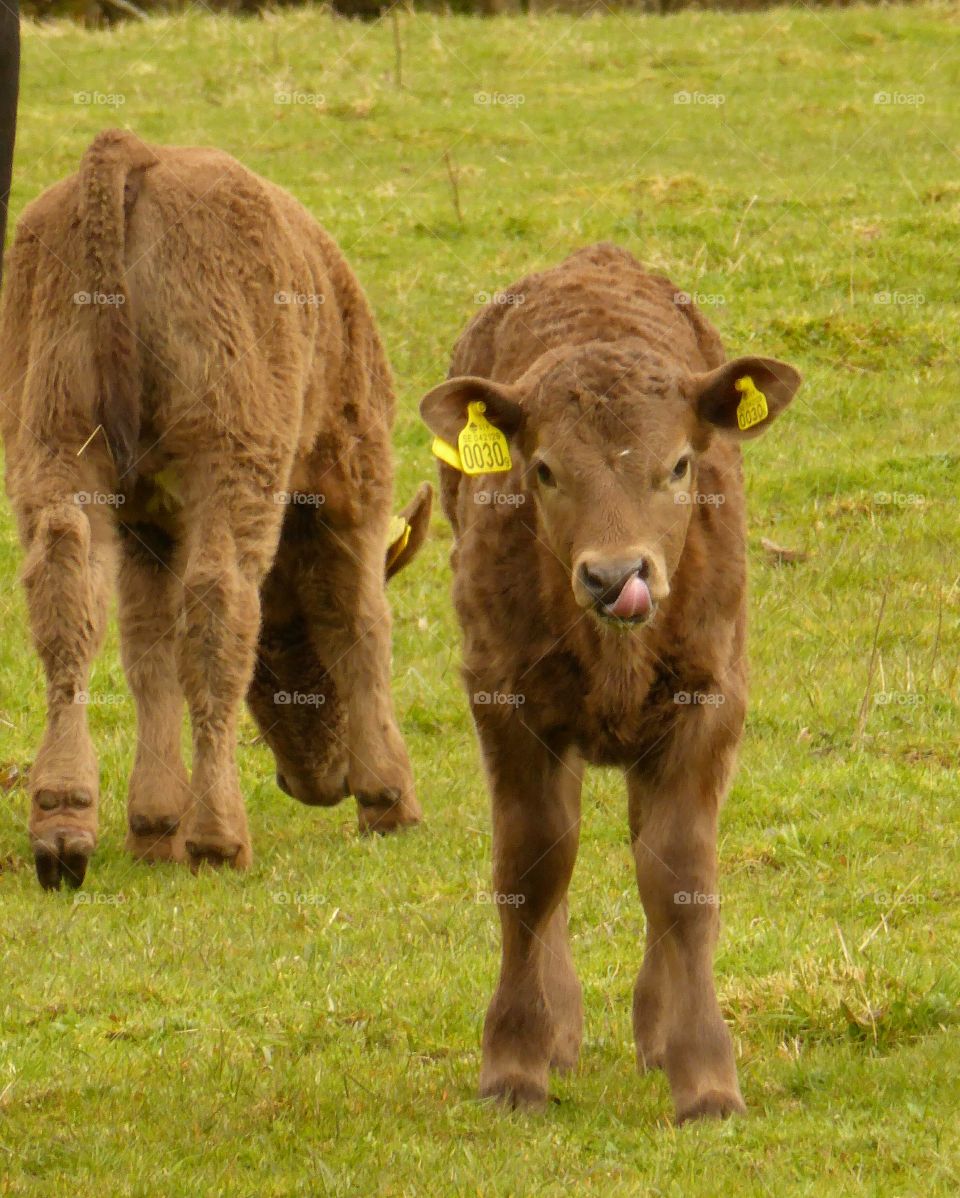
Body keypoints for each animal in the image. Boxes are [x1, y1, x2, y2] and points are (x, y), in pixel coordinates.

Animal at [0, 131, 426, 891]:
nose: (315, 783)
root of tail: (136, 153)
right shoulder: (355, 482)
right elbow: (361, 622)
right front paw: (389, 799)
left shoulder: (146, 530)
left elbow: (148, 653)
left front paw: (153, 824)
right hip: (232, 463)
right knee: (219, 601)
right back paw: (221, 838)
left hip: (54, 447)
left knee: (67, 589)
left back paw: (63, 825)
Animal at [421, 243, 800, 1121]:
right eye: (544, 469)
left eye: (680, 464)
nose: (615, 575)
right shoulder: (503, 699)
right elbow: (531, 867)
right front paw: (515, 1061)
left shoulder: (709, 701)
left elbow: (678, 874)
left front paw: (704, 1077)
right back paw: (562, 1031)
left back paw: (655, 1032)